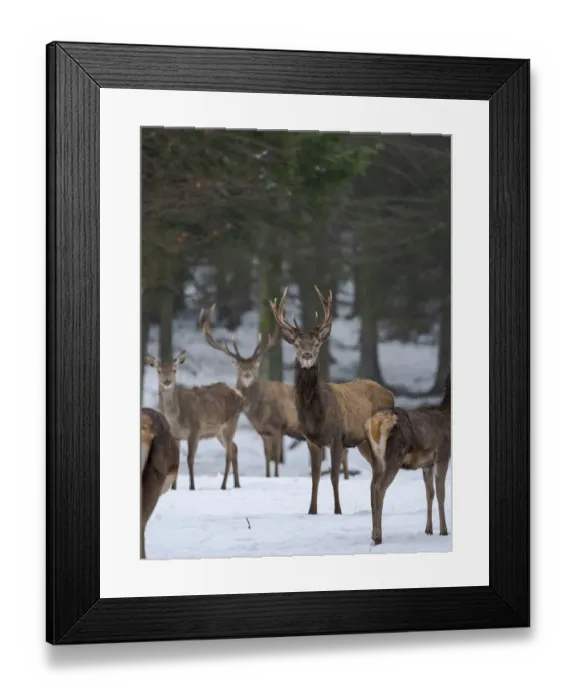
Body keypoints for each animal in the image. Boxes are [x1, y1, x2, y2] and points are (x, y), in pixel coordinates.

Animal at [144, 351, 245, 491]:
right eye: (159, 370)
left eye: (174, 370)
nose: (167, 381)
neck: (174, 418)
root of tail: (240, 396)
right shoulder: (176, 435)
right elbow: (176, 460)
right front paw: (173, 488)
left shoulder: (195, 429)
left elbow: (190, 459)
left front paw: (192, 486)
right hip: (218, 432)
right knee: (235, 448)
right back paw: (237, 484)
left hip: (231, 423)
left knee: (228, 454)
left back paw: (223, 485)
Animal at [269, 285, 395, 515]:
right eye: (297, 344)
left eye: (317, 343)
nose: (307, 355)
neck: (316, 415)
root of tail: (391, 394)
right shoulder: (311, 440)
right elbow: (315, 477)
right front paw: (312, 510)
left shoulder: (337, 436)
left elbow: (335, 476)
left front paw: (338, 510)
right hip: (364, 442)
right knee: (376, 470)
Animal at [364, 371, 451, 545]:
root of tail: (376, 423)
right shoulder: (443, 454)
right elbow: (441, 493)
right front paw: (444, 531)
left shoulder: (427, 464)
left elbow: (429, 493)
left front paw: (428, 530)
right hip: (395, 456)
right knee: (379, 488)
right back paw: (378, 536)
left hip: (376, 460)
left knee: (372, 487)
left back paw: (373, 534)